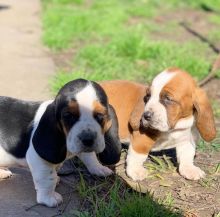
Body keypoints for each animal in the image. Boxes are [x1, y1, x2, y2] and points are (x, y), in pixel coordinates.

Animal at [0, 79, 121, 207]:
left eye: (100, 115)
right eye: (68, 115)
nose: (88, 139)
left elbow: (90, 157)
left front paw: (99, 168)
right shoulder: (37, 159)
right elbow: (48, 178)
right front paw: (48, 198)